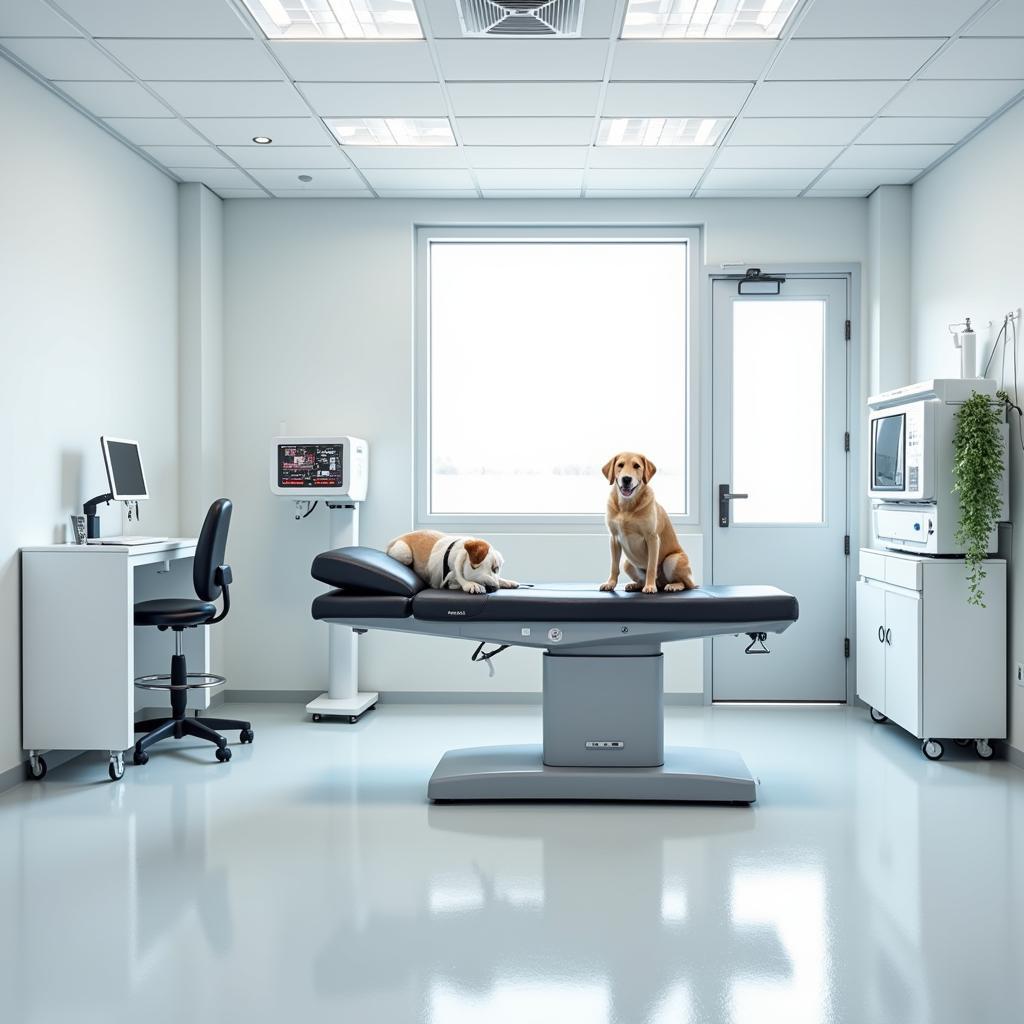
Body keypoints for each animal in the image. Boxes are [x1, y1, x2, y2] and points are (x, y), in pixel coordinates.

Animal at [389, 532, 524, 598]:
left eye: (496, 569)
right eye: (474, 567)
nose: (493, 588)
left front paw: (506, 581)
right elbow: (458, 576)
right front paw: (471, 585)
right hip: (405, 553)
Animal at [598, 454, 696, 598]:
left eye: (637, 466)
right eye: (620, 465)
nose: (626, 479)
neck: (627, 506)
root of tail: (661, 583)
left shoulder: (652, 538)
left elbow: (651, 567)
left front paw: (650, 586)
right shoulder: (614, 538)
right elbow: (614, 567)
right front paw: (610, 583)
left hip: (672, 559)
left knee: (686, 584)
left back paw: (672, 586)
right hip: (627, 563)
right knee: (641, 580)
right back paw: (635, 585)